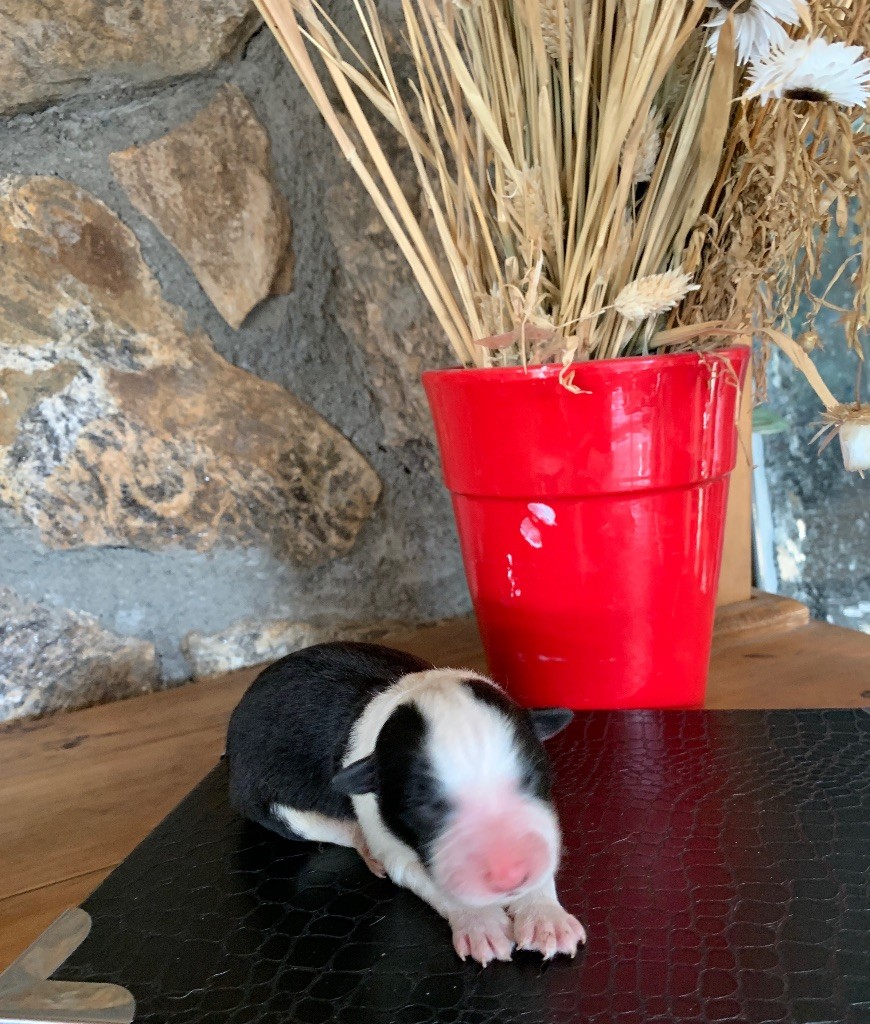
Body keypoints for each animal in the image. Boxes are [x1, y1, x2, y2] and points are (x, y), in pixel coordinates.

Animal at [226, 641, 585, 965]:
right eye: (426, 810)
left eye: (531, 781)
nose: (509, 876)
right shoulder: (397, 848)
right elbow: (434, 878)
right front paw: (480, 921)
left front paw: (544, 915)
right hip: (271, 802)